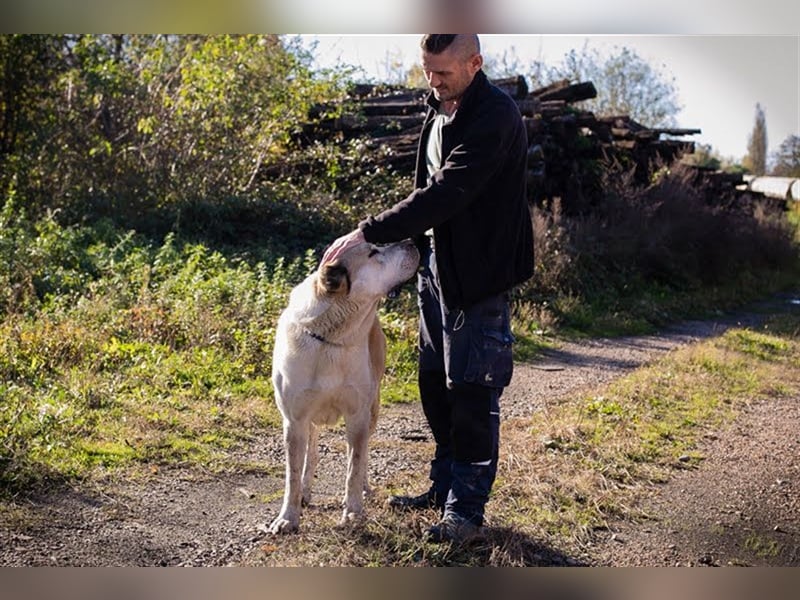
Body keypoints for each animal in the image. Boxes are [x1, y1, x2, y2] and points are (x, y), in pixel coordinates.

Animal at [268, 241, 418, 532]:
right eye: (373, 253)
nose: (412, 243)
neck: (331, 338)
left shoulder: (357, 415)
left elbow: (355, 466)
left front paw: (353, 513)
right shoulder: (294, 420)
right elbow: (292, 474)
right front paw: (287, 518)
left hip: (373, 408)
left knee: (363, 453)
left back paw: (365, 489)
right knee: (311, 453)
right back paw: (305, 492)